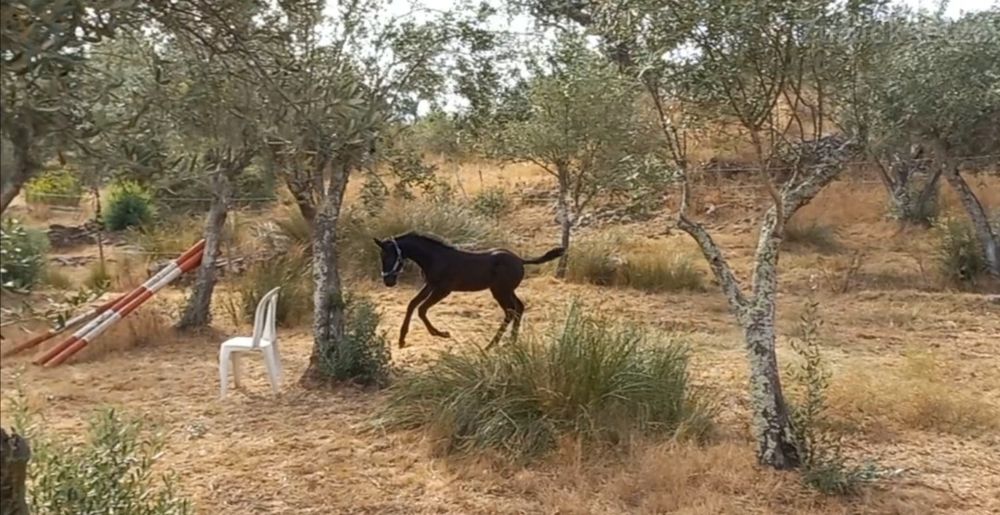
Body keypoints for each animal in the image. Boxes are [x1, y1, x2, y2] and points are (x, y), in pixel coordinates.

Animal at [373, 232, 564, 349]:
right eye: (382, 256)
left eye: (389, 255)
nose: (388, 281)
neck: (435, 257)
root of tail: (520, 260)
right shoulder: (430, 285)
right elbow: (412, 305)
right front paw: (402, 339)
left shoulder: (444, 289)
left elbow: (422, 309)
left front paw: (441, 333)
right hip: (507, 290)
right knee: (519, 308)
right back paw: (510, 342)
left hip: (500, 291)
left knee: (510, 311)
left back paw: (491, 345)